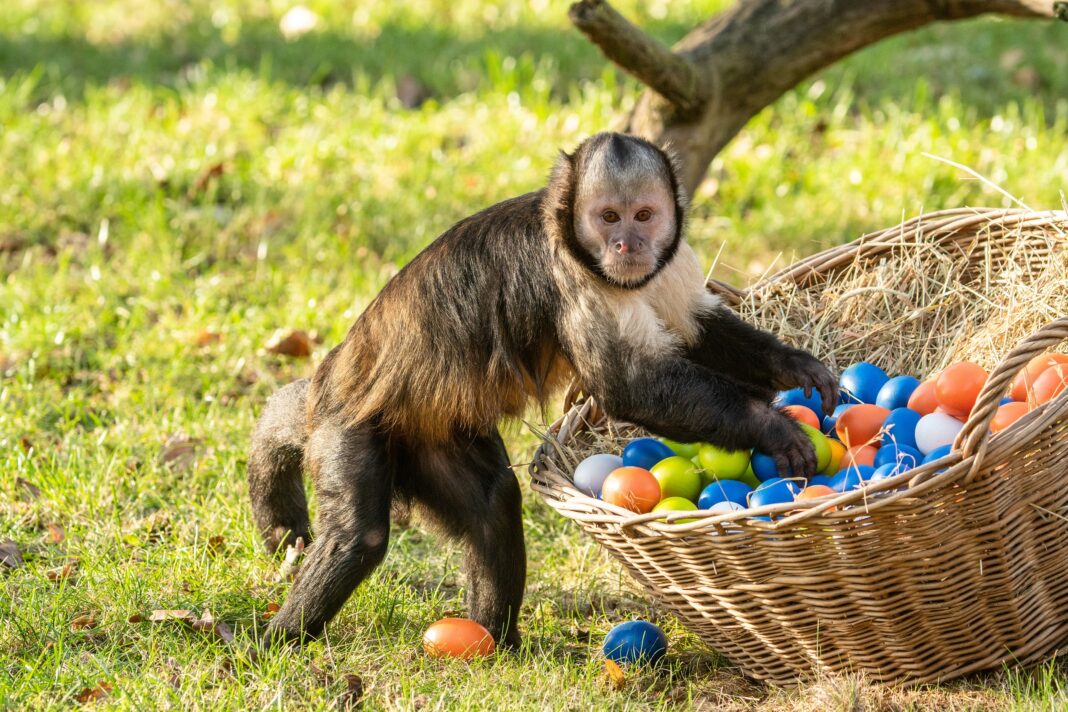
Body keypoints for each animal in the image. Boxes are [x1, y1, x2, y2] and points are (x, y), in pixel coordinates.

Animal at [245, 130, 837, 649]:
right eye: (608, 217)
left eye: (644, 215)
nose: (627, 244)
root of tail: (336, 372)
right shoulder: (568, 276)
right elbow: (630, 387)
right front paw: (774, 428)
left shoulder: (665, 263)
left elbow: (697, 331)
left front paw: (797, 367)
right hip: (351, 423)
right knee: (358, 536)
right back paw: (277, 642)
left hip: (422, 434)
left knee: (493, 501)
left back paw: (495, 642)